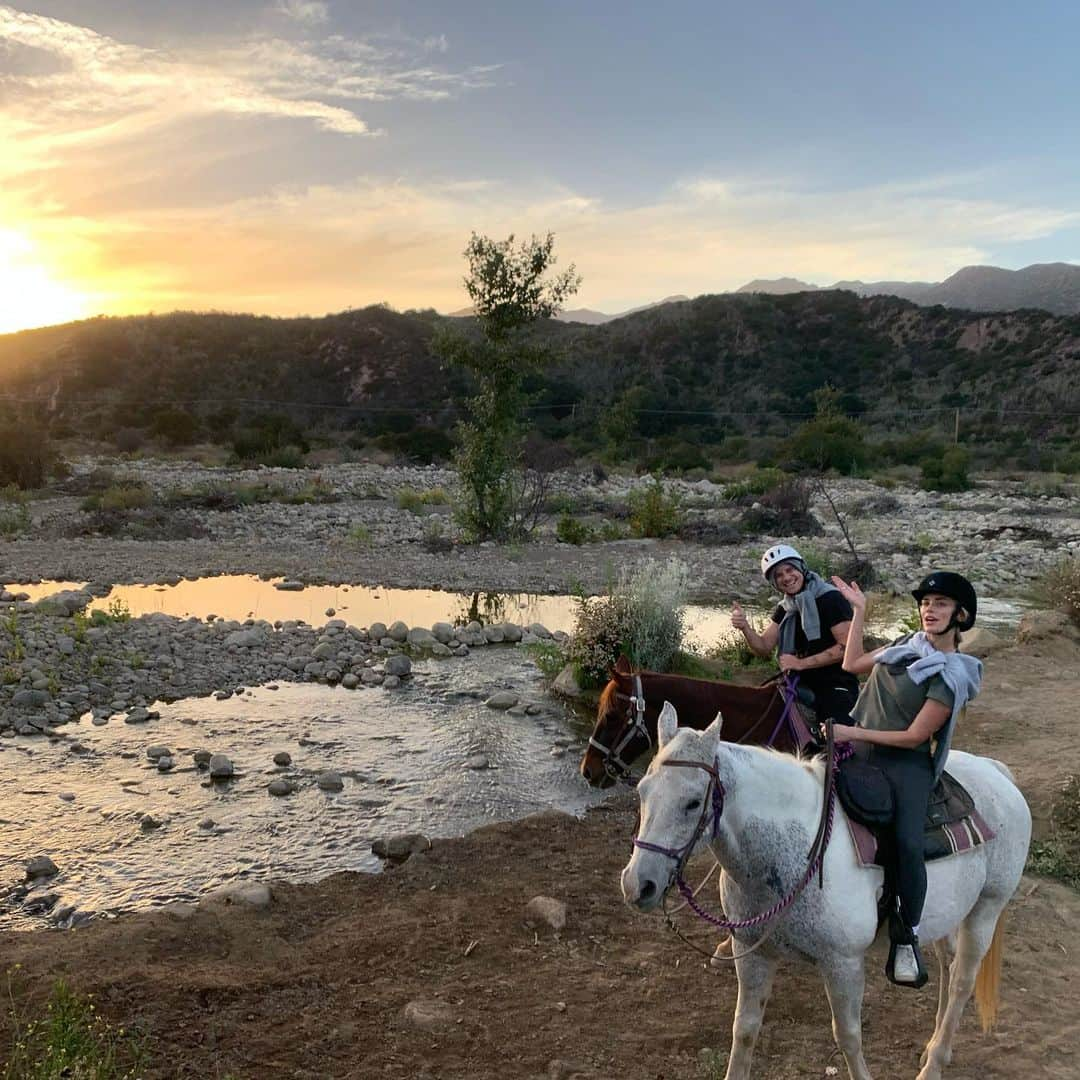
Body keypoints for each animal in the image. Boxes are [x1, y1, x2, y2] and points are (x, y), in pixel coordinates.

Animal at [622, 704, 1032, 1075]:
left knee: (963, 979)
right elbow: (744, 1031)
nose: (637, 883)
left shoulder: (842, 964)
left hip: (986, 909)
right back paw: (933, 1048)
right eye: (642, 791)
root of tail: (997, 773)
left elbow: (848, 1037)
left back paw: (934, 1064)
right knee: (948, 966)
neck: (794, 851)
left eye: (693, 802)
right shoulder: (752, 953)